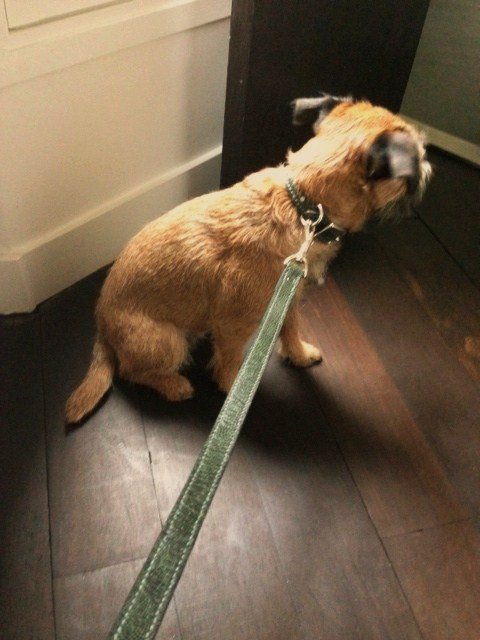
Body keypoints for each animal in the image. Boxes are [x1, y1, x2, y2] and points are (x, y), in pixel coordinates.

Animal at [65, 94, 431, 423]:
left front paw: (299, 355)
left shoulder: (289, 298)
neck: (303, 205)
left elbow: (290, 329)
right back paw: (173, 384)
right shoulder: (235, 323)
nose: (428, 168)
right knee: (132, 371)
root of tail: (102, 327)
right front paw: (234, 393)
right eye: (416, 160)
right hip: (167, 342)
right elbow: (229, 362)